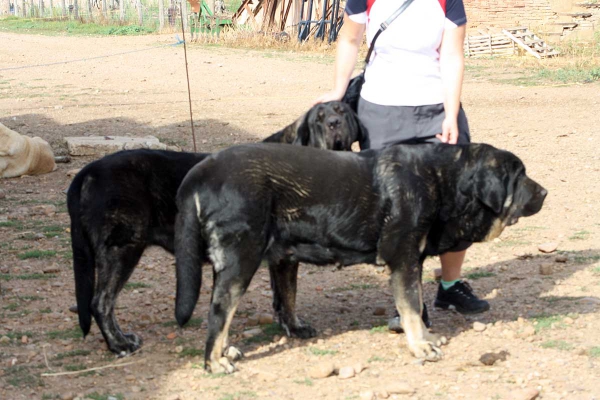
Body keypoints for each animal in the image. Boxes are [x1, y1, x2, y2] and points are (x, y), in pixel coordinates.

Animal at [67, 101, 364, 356]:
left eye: (341, 111)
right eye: (319, 119)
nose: (334, 123)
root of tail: (88, 171)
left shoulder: (277, 258)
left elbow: (282, 296)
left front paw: (288, 326)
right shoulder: (281, 256)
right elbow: (287, 295)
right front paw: (295, 327)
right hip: (122, 248)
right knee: (101, 302)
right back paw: (119, 344)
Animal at [176, 141, 548, 372]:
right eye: (520, 176)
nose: (545, 191)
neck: (444, 180)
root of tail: (201, 170)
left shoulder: (413, 261)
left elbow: (417, 306)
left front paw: (426, 338)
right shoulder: (403, 260)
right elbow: (411, 308)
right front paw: (421, 347)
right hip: (242, 258)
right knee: (219, 312)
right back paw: (214, 361)